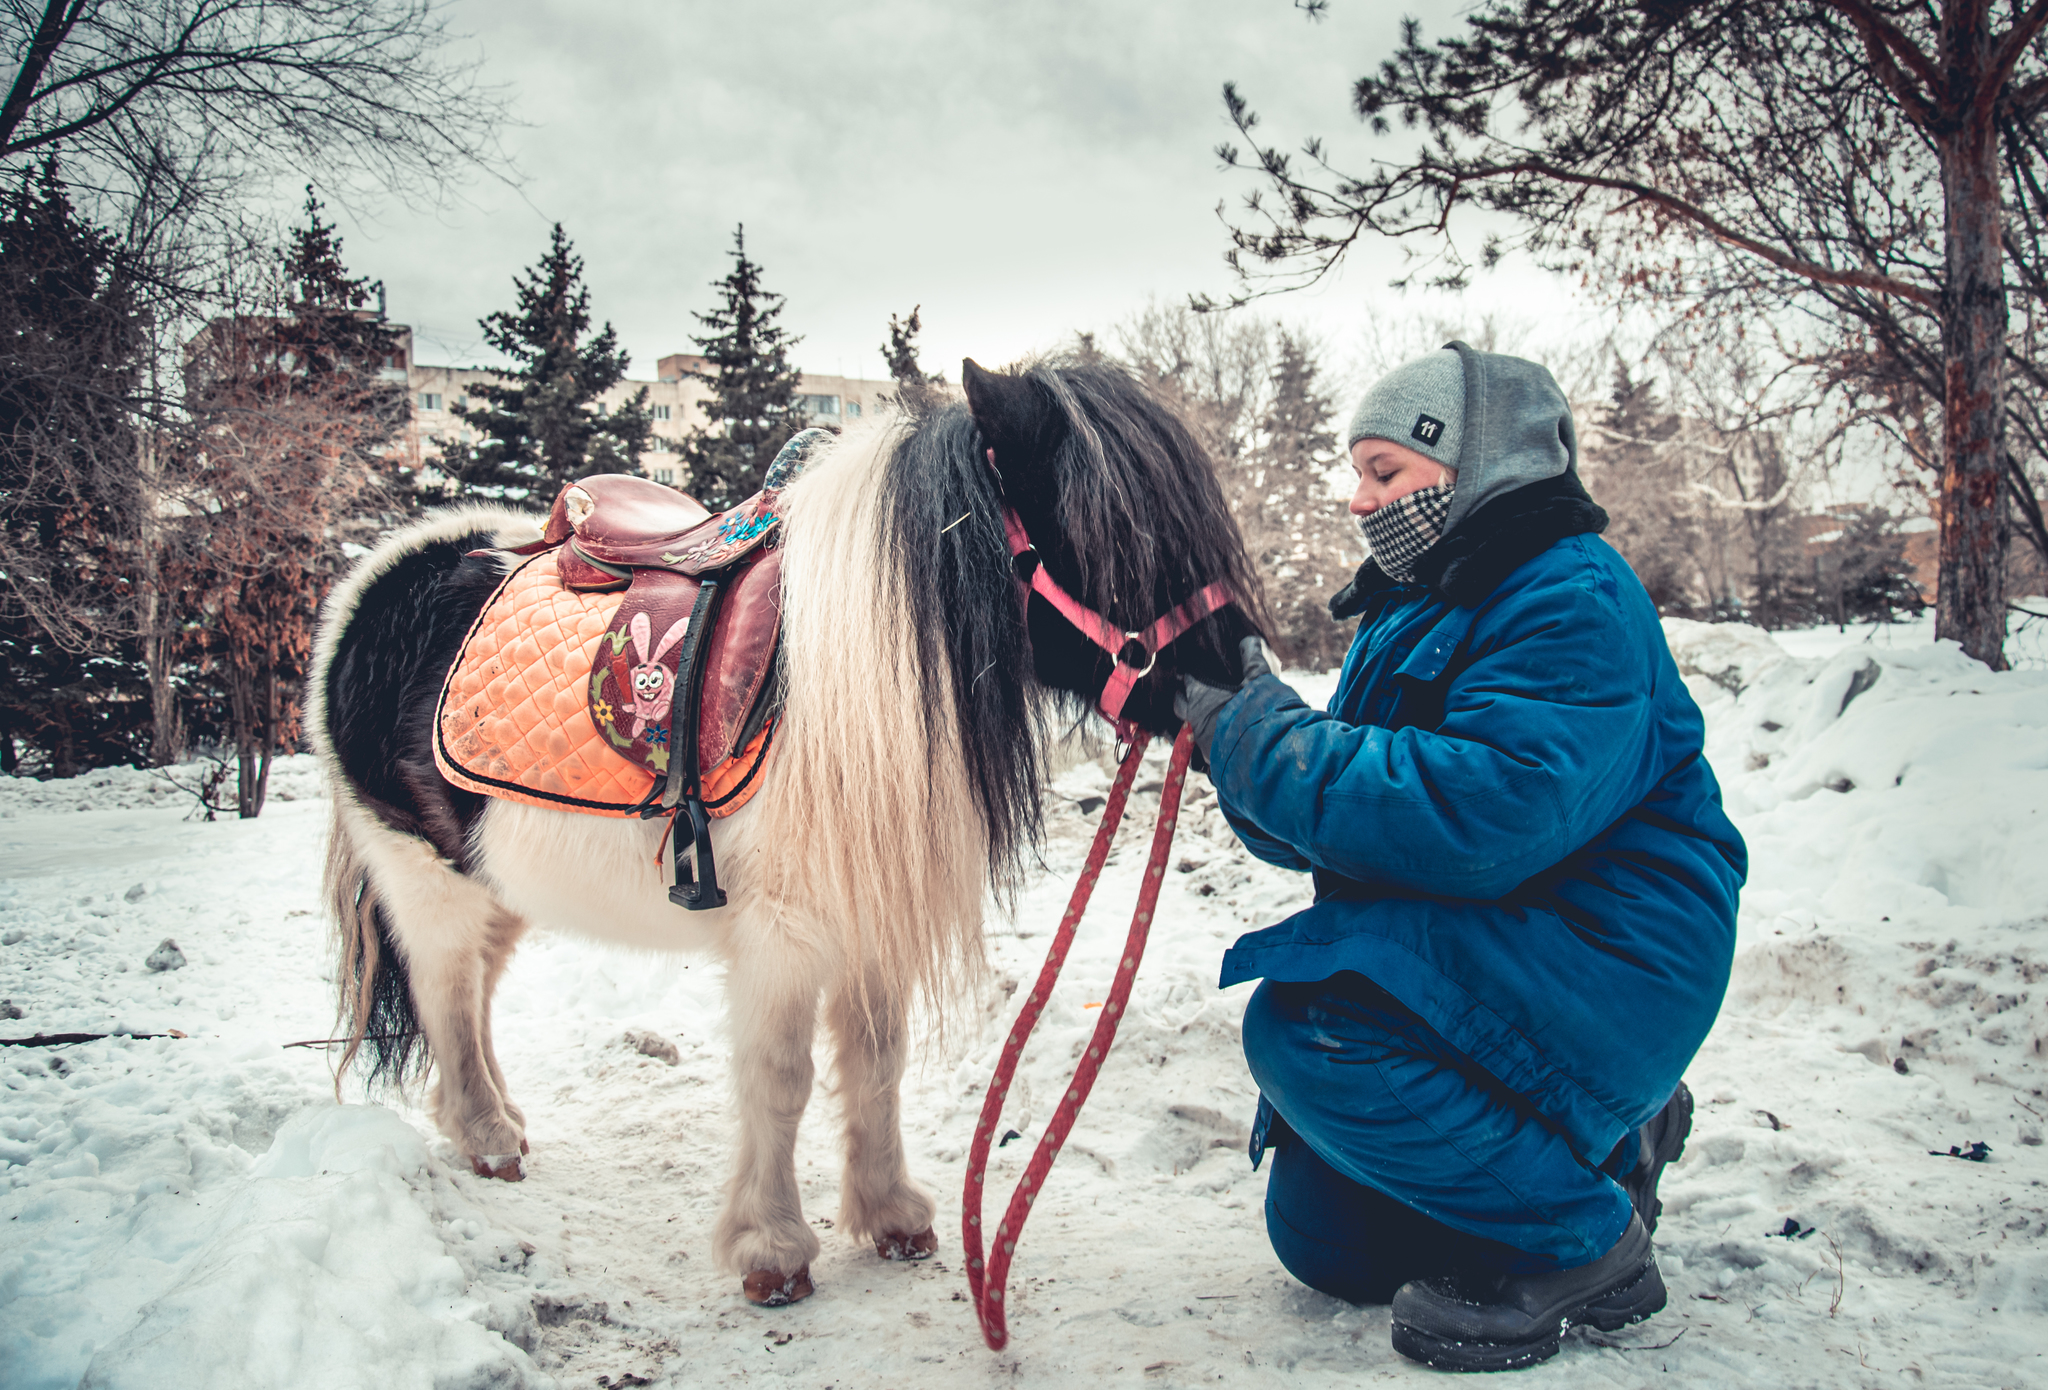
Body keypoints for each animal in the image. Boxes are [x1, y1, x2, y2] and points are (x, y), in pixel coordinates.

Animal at [307, 356, 1261, 1301]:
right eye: (1122, 541)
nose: (1240, 676)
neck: (853, 682)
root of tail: (375, 581)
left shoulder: (870, 912)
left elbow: (876, 1062)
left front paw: (892, 1213)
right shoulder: (782, 932)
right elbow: (781, 1079)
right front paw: (771, 1250)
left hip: (497, 887)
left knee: (472, 996)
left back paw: (499, 1118)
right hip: (424, 882)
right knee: (444, 993)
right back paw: (488, 1138)